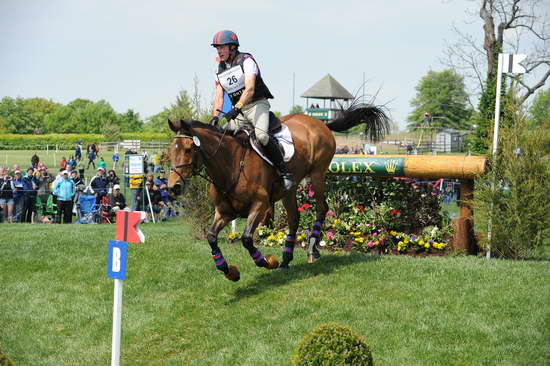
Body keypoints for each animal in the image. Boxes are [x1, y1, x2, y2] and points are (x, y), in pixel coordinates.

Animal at [168, 101, 392, 282]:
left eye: (188, 149)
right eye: (171, 150)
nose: (174, 187)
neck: (231, 165)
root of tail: (319, 123)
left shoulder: (260, 205)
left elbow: (247, 239)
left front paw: (267, 261)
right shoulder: (224, 212)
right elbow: (211, 237)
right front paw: (229, 271)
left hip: (318, 174)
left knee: (321, 208)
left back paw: (311, 250)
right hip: (289, 190)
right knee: (294, 217)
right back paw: (286, 259)